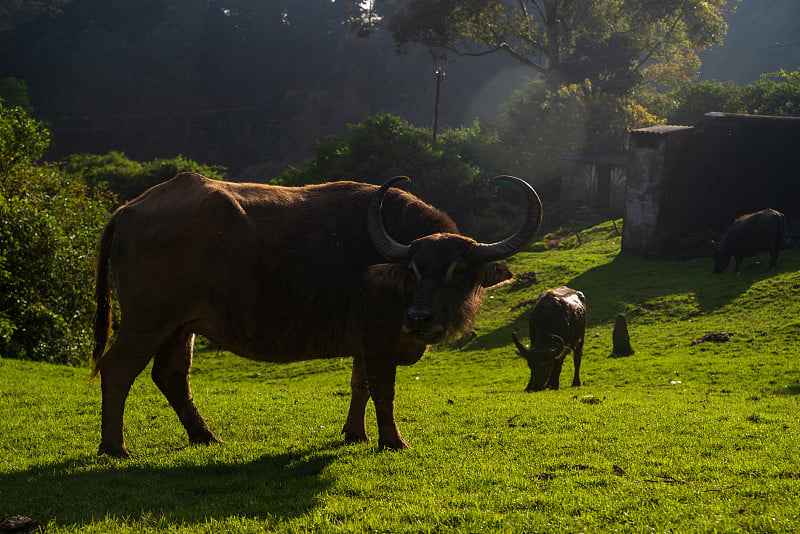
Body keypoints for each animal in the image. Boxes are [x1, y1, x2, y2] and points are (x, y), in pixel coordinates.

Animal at [92, 174, 544, 458]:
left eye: (458, 268)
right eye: (414, 269)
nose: (419, 318)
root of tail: (130, 209)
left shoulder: (365, 341)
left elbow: (360, 386)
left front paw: (354, 434)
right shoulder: (380, 337)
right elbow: (383, 389)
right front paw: (393, 441)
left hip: (180, 327)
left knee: (170, 376)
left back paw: (205, 437)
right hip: (146, 322)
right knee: (116, 369)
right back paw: (116, 447)